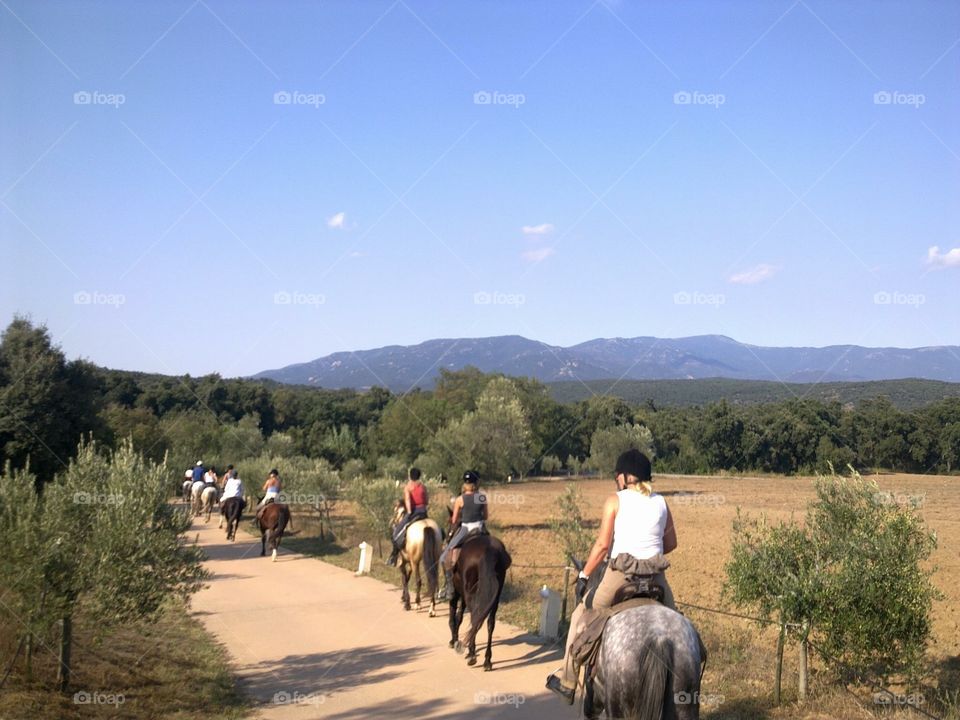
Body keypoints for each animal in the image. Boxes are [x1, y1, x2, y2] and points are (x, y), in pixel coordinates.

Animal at [450, 532, 510, 672]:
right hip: (495, 594)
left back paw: (471, 654)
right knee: (490, 623)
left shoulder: (458, 592)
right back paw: (487, 660)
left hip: (468, 591)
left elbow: (457, 614)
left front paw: (454, 639)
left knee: (474, 617)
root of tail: (489, 551)